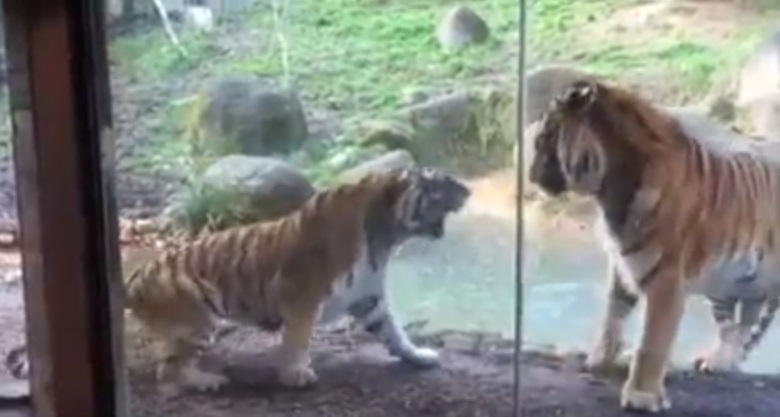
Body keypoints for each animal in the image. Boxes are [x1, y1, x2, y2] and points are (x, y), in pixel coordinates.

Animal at [5, 167, 471, 394]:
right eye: (437, 181)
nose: (467, 189)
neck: (387, 235)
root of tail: (135, 276)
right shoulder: (302, 293)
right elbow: (298, 337)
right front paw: (295, 374)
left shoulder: (369, 296)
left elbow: (394, 331)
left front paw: (418, 356)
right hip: (198, 320)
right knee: (166, 371)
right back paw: (207, 382)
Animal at [527, 78, 780, 413]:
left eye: (543, 139)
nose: (530, 176)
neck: (610, 190)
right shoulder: (623, 261)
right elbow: (612, 313)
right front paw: (601, 358)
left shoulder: (667, 277)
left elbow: (652, 342)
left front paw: (641, 396)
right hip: (732, 283)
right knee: (740, 323)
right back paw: (720, 361)